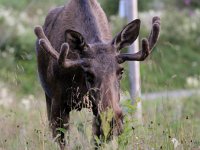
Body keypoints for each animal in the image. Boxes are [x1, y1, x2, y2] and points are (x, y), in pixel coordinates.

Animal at [33, 0, 160, 149]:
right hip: (48, 96)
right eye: (88, 74)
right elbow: (62, 140)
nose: (112, 121)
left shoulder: (97, 109)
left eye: (121, 71)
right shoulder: (58, 102)